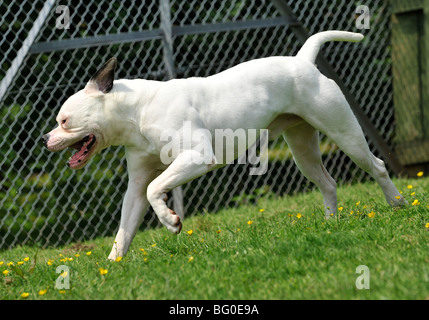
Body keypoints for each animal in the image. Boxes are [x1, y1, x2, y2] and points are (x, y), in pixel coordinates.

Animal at [42, 31, 404, 260]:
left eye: (64, 120)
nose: (44, 138)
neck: (136, 110)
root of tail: (302, 61)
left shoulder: (196, 158)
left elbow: (156, 189)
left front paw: (170, 220)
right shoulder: (136, 185)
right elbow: (126, 226)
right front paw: (112, 266)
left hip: (345, 134)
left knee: (377, 166)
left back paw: (398, 204)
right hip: (304, 151)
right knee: (328, 183)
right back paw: (331, 225)